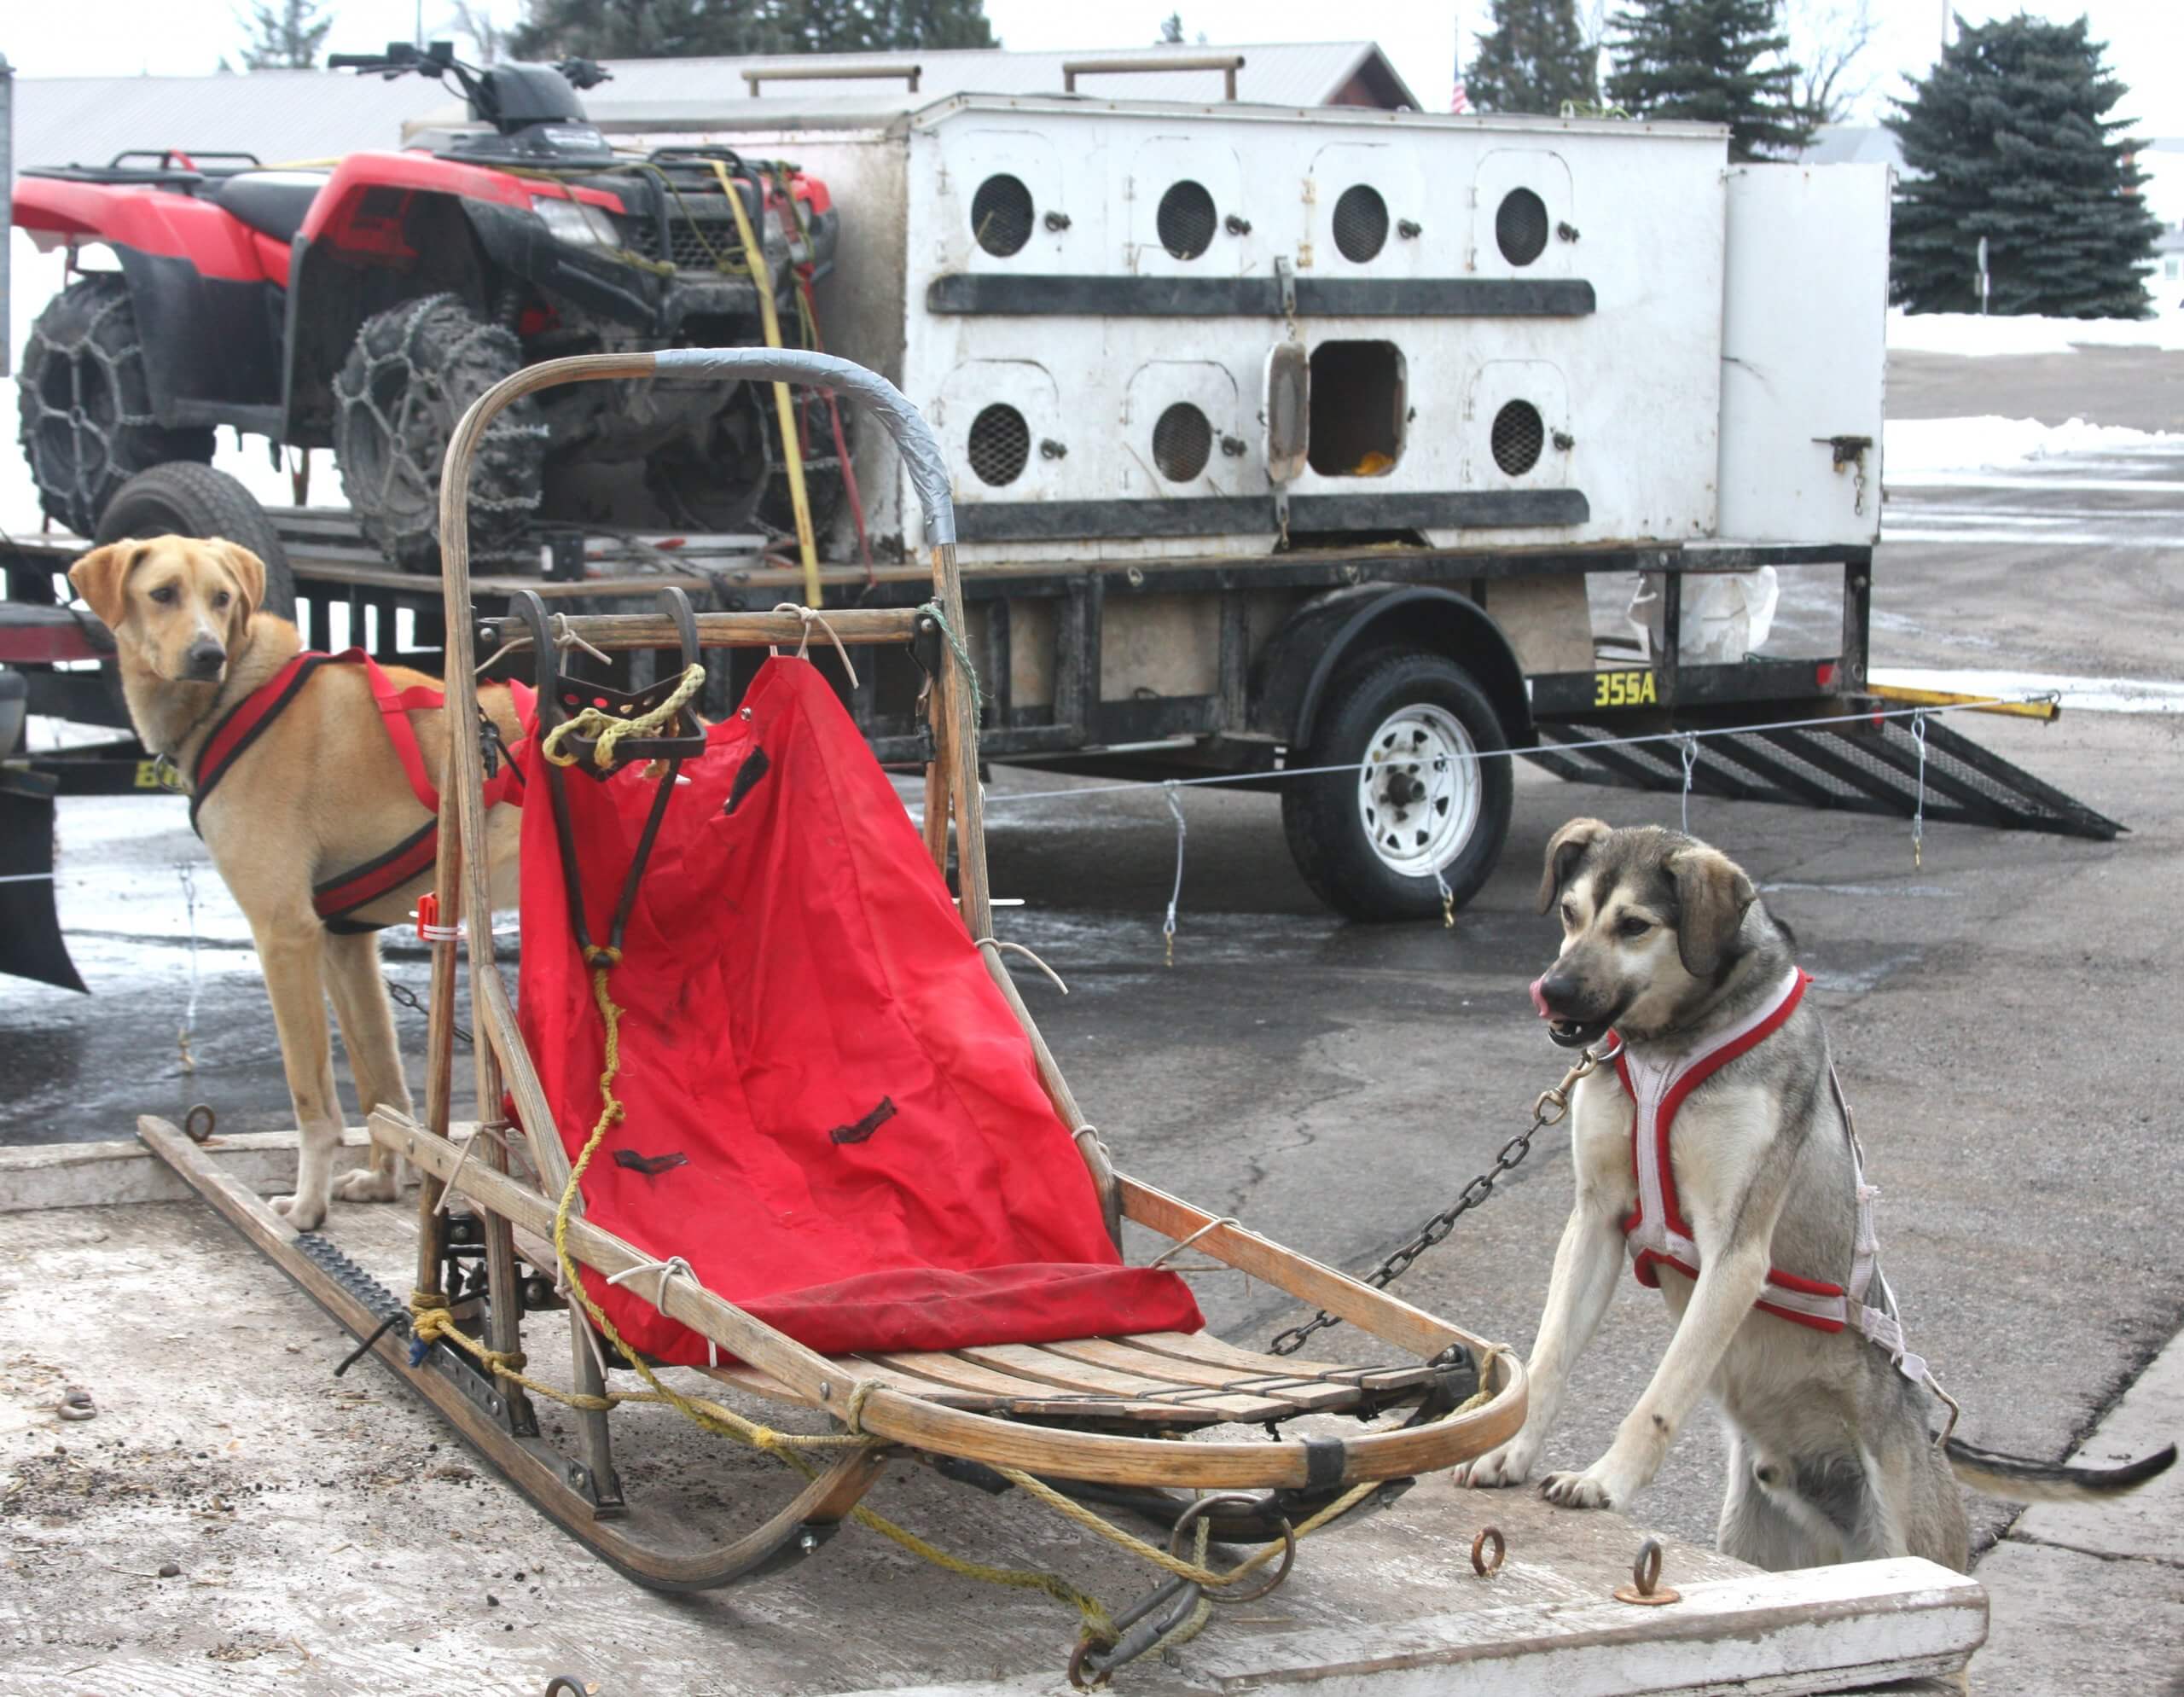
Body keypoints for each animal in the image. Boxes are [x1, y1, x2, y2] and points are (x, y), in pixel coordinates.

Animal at [73, 537, 524, 1223]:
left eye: (222, 598)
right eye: (163, 593)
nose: (207, 654)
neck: (238, 692)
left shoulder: (282, 934)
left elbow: (312, 1100)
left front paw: (308, 1208)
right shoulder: (344, 941)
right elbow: (380, 1086)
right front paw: (384, 1181)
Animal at [1459, 812, 2175, 1572]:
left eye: (1634, 925)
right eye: (1569, 913)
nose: (1551, 991)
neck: (1669, 1044)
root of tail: (1929, 1435)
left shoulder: (1735, 1251)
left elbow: (1660, 1394)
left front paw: (1605, 1479)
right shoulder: (1595, 1220)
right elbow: (1550, 1359)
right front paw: (1511, 1449)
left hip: (1912, 1550)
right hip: (1756, 1542)